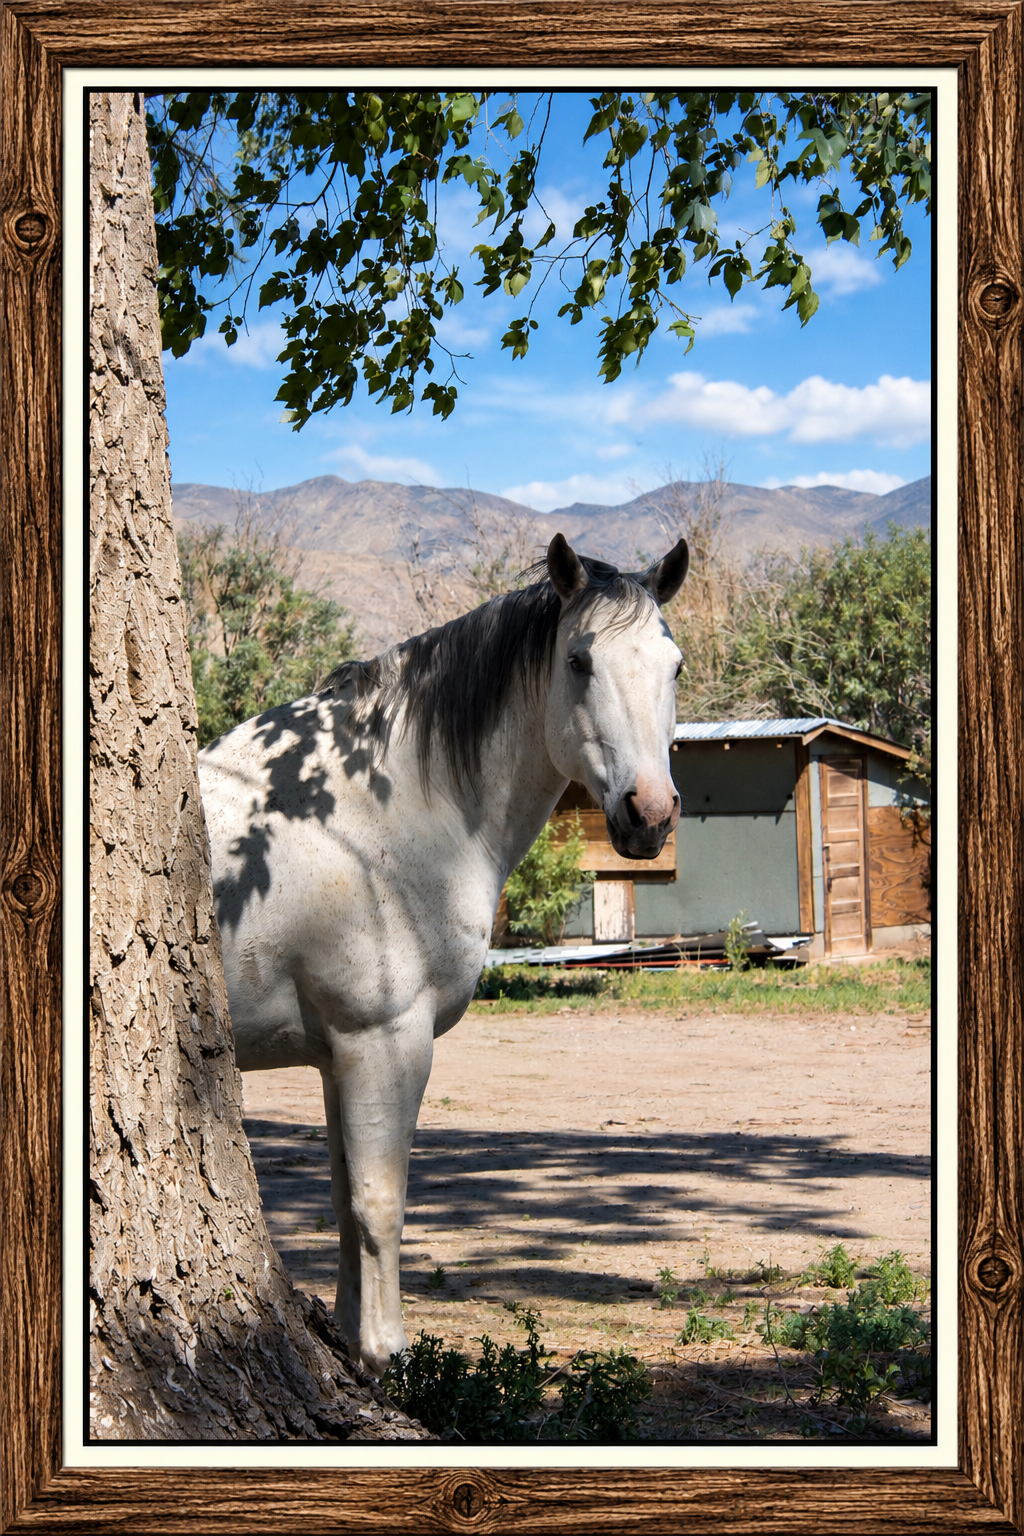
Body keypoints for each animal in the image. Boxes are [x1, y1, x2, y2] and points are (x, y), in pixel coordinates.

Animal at [198, 532, 688, 1375]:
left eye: (675, 665)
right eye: (579, 661)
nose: (648, 814)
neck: (374, 816)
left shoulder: (337, 1054)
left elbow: (346, 1198)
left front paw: (355, 1343)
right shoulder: (384, 1040)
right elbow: (379, 1203)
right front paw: (387, 1356)